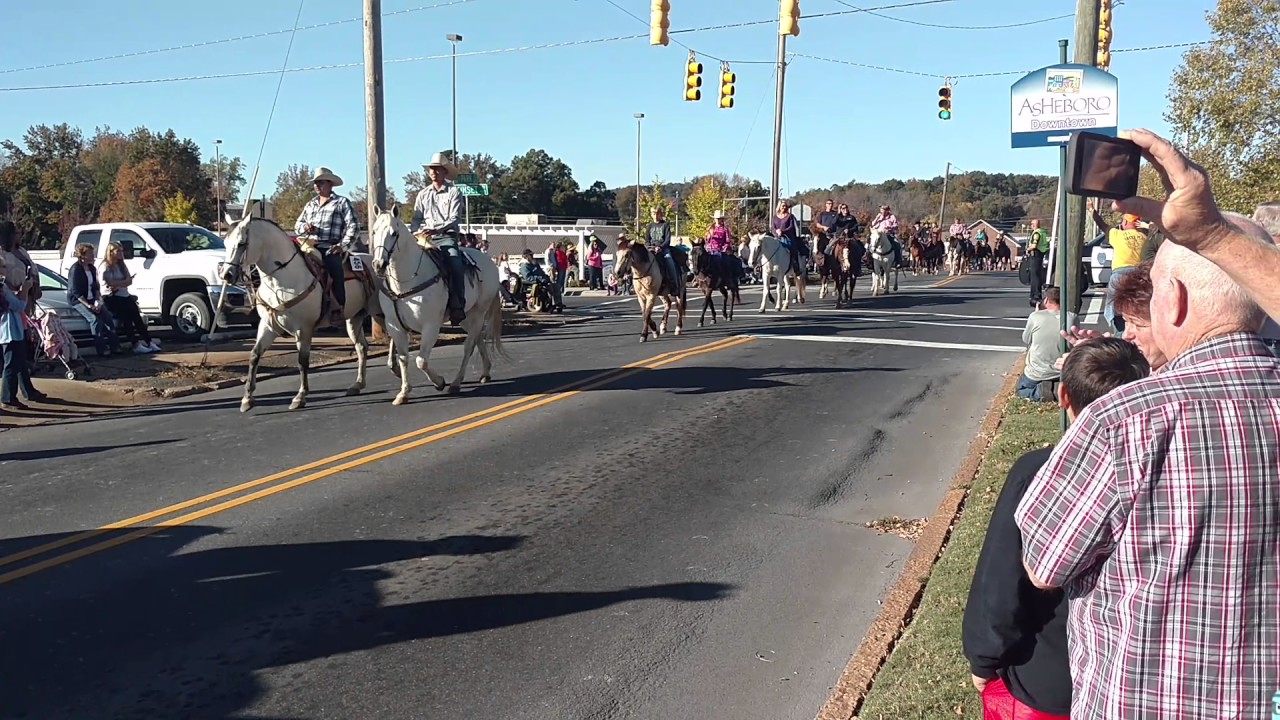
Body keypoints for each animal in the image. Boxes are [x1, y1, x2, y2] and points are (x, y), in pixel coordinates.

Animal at [221, 213, 378, 409]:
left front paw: (300, 396)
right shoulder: (268, 326)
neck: (281, 279)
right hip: (354, 319)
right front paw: (247, 398)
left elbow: (302, 361)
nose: (226, 274)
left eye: (242, 243)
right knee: (362, 347)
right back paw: (357, 385)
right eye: (225, 243)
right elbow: (254, 355)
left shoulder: (303, 329)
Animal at [366, 206, 504, 404]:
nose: (378, 264)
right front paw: (403, 393)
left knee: (469, 346)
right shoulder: (395, 327)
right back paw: (485, 372)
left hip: (479, 312)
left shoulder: (430, 326)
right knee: (477, 337)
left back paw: (456, 383)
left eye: (394, 233)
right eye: (374, 231)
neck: (406, 282)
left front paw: (439, 382)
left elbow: (421, 361)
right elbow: (403, 358)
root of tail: (489, 261)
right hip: (465, 316)